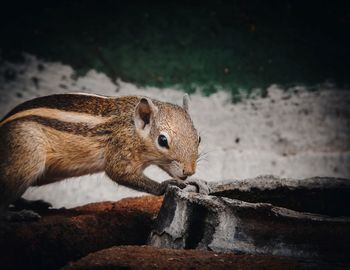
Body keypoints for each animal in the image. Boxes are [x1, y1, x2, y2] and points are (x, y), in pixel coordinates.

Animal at [0, 93, 202, 213]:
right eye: (162, 140)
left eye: (199, 138)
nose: (189, 171)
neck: (133, 128)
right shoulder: (121, 151)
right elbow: (119, 173)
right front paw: (166, 185)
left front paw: (191, 182)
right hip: (25, 160)